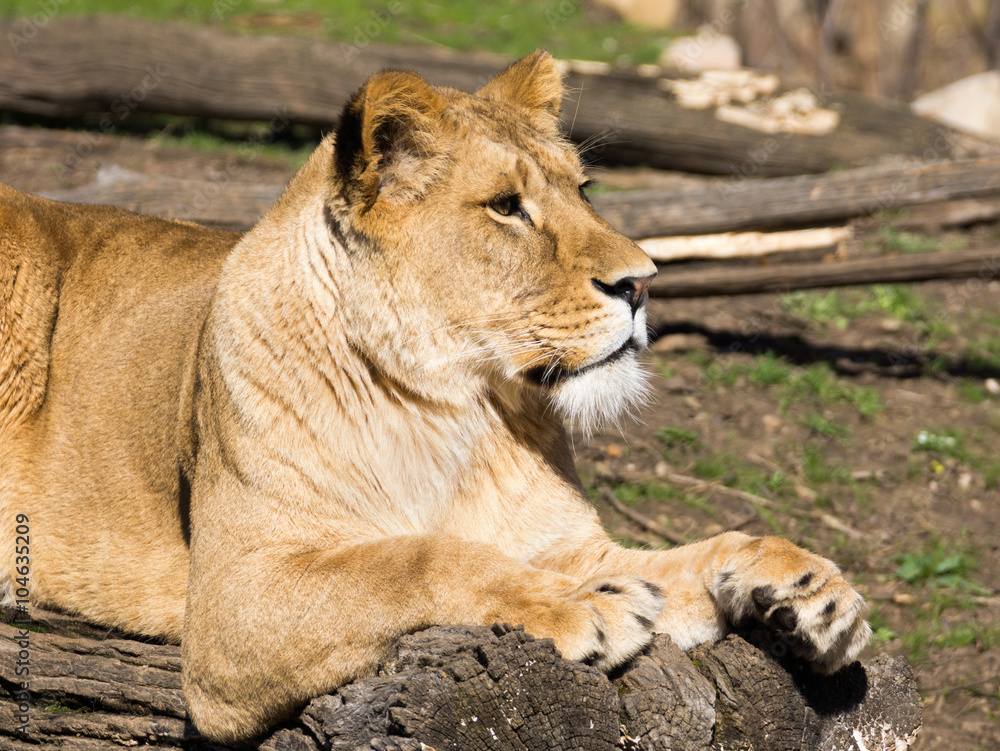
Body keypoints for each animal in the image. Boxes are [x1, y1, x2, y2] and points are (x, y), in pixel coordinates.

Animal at [0, 51, 870, 743]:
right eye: (507, 206)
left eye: (584, 189)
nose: (643, 282)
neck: (455, 408)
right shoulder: (229, 604)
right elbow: (419, 555)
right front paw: (581, 604)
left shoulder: (569, 540)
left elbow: (691, 556)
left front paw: (803, 589)